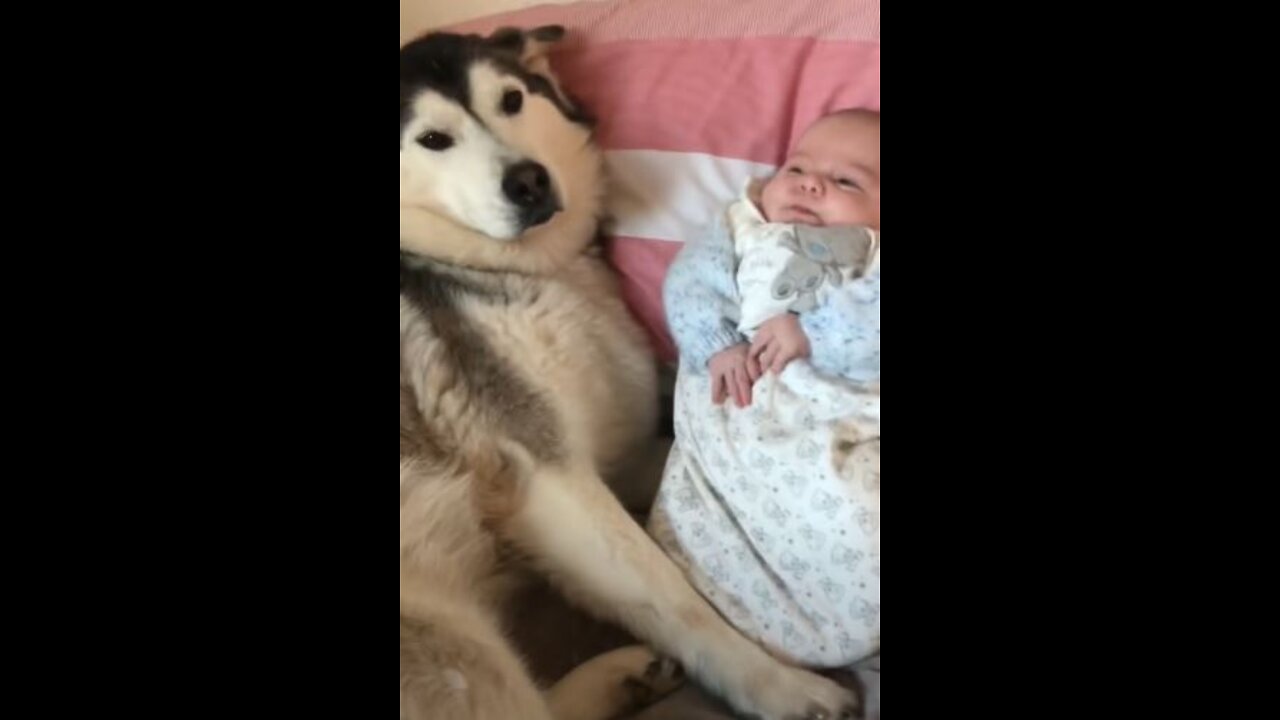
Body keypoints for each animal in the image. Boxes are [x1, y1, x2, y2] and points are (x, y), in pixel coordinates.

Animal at [399, 25, 860, 712]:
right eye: (433, 139)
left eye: (511, 100)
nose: (528, 182)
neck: (516, 270)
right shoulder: (550, 483)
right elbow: (675, 598)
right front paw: (783, 687)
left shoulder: (610, 457)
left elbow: (673, 461)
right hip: (444, 630)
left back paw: (623, 675)